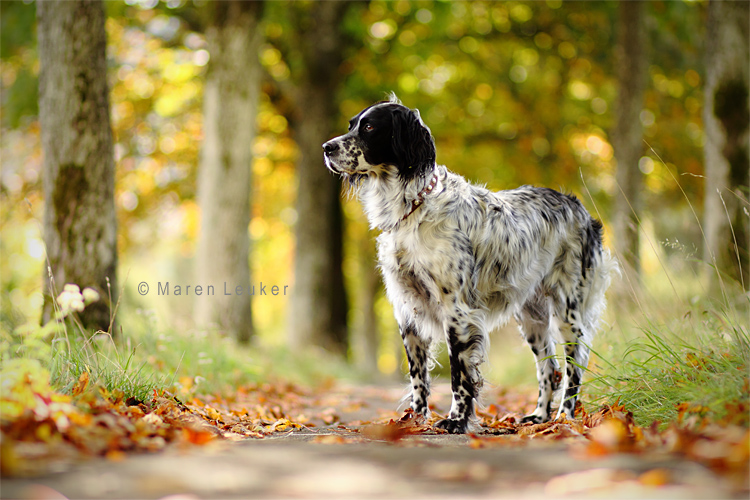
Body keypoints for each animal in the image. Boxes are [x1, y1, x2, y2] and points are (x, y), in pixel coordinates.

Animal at [324, 95, 616, 432]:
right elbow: (418, 376)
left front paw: (456, 420)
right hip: (532, 317)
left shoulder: (457, 311)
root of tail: (578, 206)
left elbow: (459, 375)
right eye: (351, 125)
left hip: (568, 312)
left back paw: (563, 418)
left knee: (574, 367)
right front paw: (414, 419)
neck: (413, 208)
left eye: (370, 127)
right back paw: (539, 417)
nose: (326, 147)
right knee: (549, 368)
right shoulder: (406, 309)